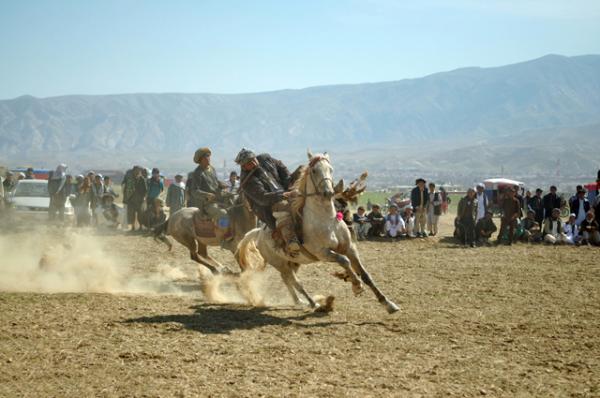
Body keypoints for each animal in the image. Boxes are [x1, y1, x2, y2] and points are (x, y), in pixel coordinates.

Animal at [237, 152, 400, 314]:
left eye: (331, 169)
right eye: (314, 171)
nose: (328, 192)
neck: (327, 221)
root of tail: (258, 232)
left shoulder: (350, 248)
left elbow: (365, 274)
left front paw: (388, 303)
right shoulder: (322, 253)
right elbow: (344, 261)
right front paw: (356, 285)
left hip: (293, 262)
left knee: (288, 280)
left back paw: (299, 301)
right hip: (279, 263)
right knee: (295, 281)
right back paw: (312, 303)